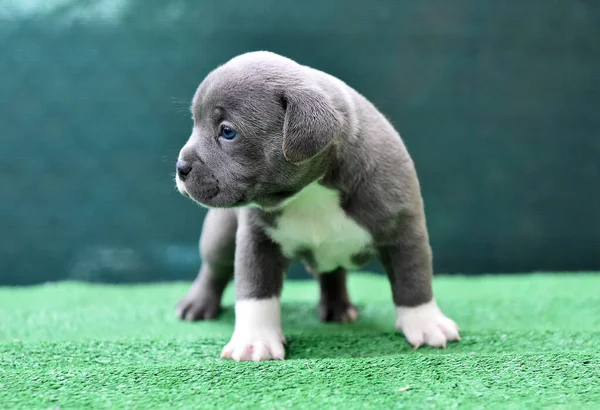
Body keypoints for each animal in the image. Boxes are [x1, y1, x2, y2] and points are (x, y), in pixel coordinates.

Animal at [173, 51, 460, 362]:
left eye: (227, 132)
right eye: (194, 124)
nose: (180, 167)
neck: (312, 190)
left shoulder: (404, 231)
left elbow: (413, 279)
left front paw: (426, 324)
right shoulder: (257, 240)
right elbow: (255, 290)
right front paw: (254, 340)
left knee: (332, 274)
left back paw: (338, 308)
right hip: (221, 233)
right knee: (214, 268)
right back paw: (198, 304)